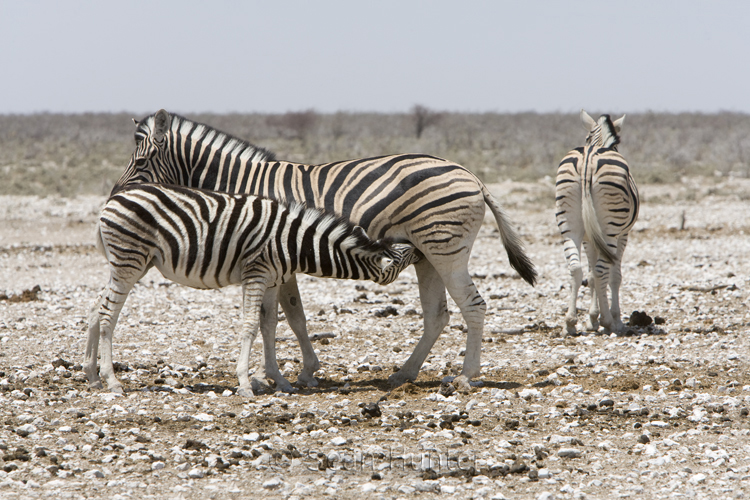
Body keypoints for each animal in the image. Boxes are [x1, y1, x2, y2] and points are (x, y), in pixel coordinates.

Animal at [83, 183, 420, 396]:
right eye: (403, 256)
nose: (420, 249)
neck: (296, 243)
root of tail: (112, 200)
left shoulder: (272, 280)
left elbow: (269, 325)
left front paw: (279, 380)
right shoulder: (256, 274)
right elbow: (249, 326)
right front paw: (245, 383)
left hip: (131, 264)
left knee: (96, 308)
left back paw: (91, 375)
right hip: (129, 262)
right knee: (108, 315)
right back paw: (112, 381)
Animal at [112, 109, 537, 393]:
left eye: (142, 160)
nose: (118, 194)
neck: (244, 186)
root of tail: (472, 176)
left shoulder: (275, 259)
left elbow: (280, 319)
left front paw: (283, 374)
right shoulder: (278, 261)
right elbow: (285, 319)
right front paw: (291, 372)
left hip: (446, 249)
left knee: (473, 306)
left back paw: (465, 377)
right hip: (427, 255)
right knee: (437, 315)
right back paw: (404, 374)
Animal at [555, 110, 639, 335]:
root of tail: (588, 159)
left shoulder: (587, 237)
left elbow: (591, 275)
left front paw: (592, 319)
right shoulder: (623, 236)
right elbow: (614, 276)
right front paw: (612, 318)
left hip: (569, 226)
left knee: (575, 269)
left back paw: (570, 322)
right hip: (610, 229)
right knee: (603, 271)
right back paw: (609, 321)